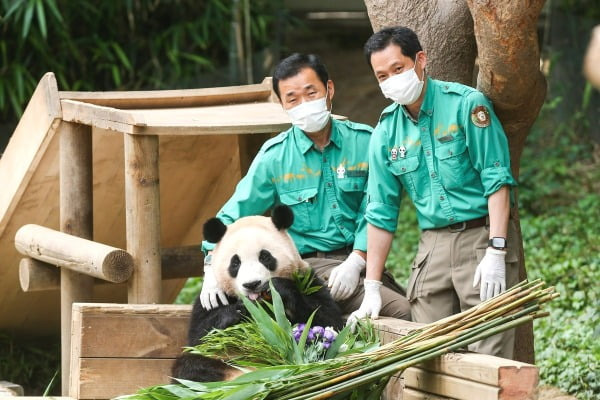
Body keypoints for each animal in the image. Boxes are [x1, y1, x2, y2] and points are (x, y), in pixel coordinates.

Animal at [171, 205, 344, 382]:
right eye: (235, 263)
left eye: (265, 257)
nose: (252, 284)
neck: (261, 303)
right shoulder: (213, 298)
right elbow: (199, 336)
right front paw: (239, 309)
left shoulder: (307, 280)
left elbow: (327, 320)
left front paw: (278, 288)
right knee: (191, 364)